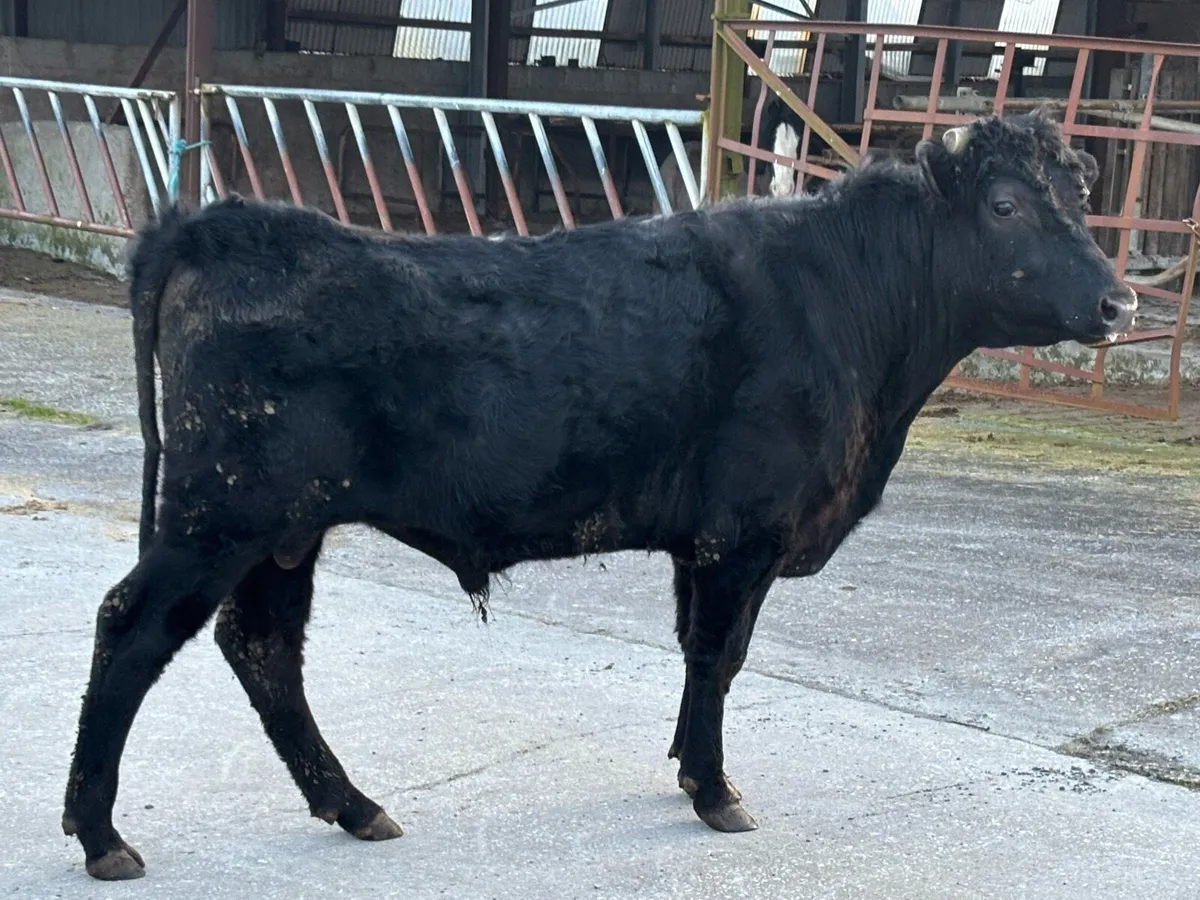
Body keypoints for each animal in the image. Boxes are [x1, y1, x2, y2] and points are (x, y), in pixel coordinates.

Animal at [61, 109, 1135, 880]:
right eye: (1005, 206)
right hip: (220, 516)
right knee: (133, 628)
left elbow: (702, 654)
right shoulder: (744, 534)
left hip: (285, 528)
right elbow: (721, 656)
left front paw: (687, 769)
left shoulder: (703, 543)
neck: (850, 309)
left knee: (263, 649)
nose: (1119, 301)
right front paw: (715, 790)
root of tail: (221, 221)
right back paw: (99, 833)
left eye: (1079, 199)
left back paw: (354, 806)